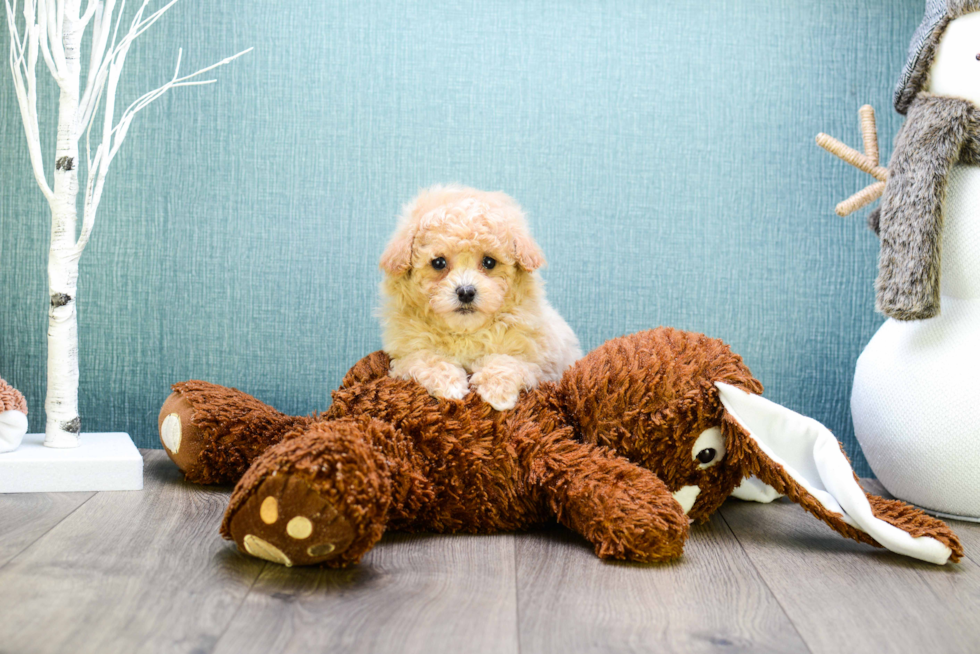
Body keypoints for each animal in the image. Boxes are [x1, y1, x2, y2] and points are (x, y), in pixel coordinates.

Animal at [378, 184, 580, 410]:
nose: (466, 292)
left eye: (489, 262)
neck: (465, 333)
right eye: (438, 263)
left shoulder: (540, 364)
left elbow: (509, 361)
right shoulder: (404, 355)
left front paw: (498, 393)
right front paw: (450, 386)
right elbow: (425, 358)